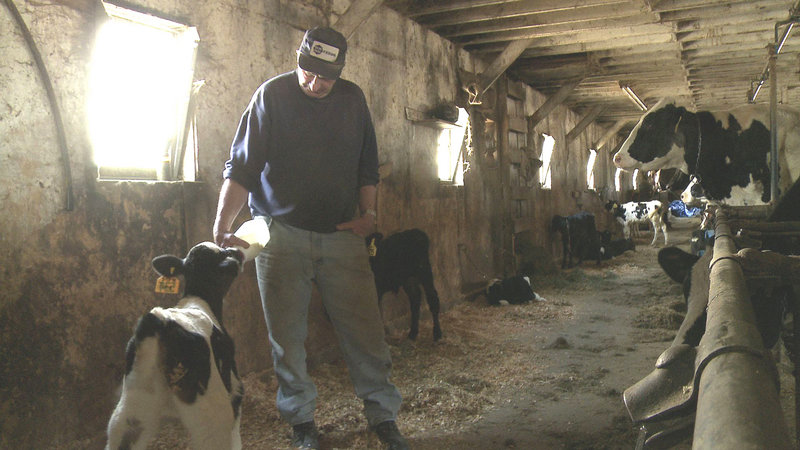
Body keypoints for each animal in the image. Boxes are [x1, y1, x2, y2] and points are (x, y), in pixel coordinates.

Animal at [106, 243, 244, 450]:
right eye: (225, 253)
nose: (237, 251)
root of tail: (161, 320)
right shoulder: (234, 386)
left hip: (133, 405)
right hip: (212, 410)